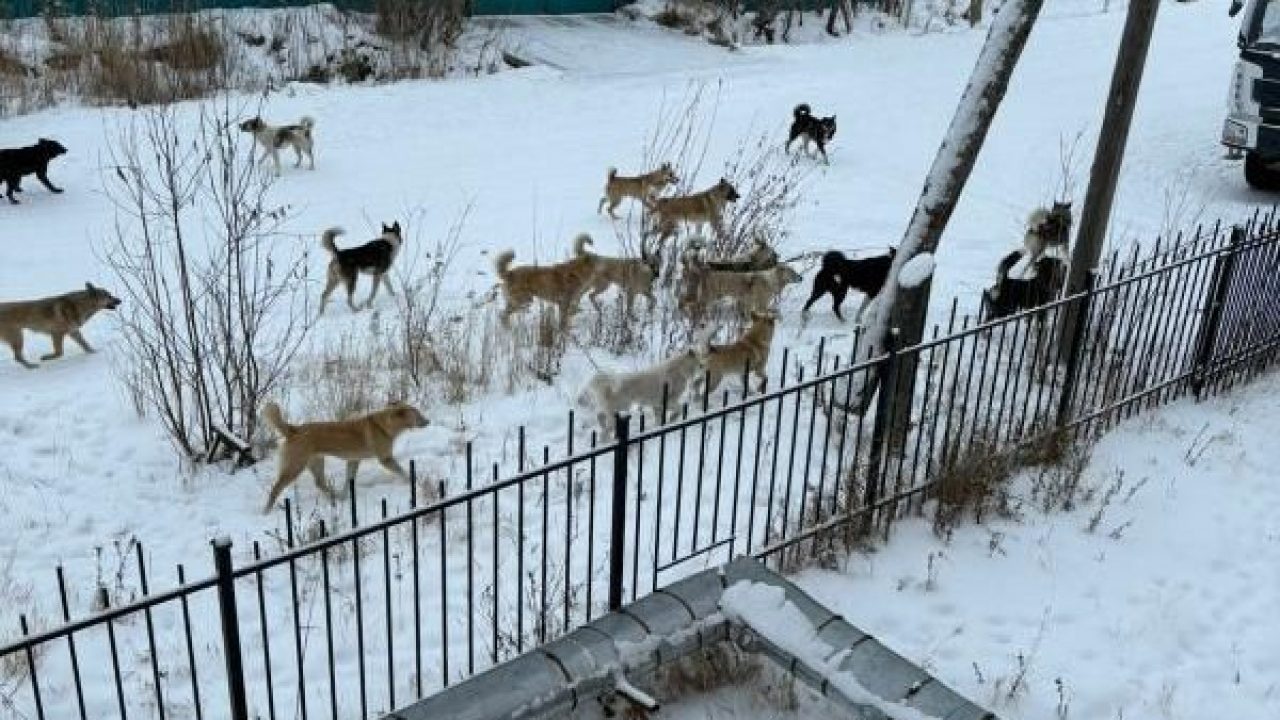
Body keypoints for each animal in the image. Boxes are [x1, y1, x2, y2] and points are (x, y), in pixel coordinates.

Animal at [259, 397, 430, 509]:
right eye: (417, 414)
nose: (428, 421)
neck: (383, 425)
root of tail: (294, 430)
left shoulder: (353, 461)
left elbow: (349, 480)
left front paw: (344, 495)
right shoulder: (386, 459)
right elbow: (403, 472)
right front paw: (414, 482)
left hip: (316, 462)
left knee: (319, 483)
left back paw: (335, 498)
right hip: (295, 467)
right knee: (276, 488)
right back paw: (267, 511)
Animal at [581, 343, 711, 430]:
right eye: (701, 365)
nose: (706, 370)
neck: (680, 368)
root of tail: (606, 388)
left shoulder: (657, 404)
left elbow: (659, 419)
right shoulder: (668, 401)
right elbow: (679, 409)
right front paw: (673, 419)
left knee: (600, 415)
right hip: (622, 407)